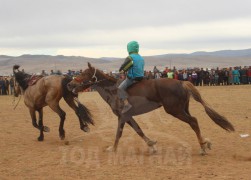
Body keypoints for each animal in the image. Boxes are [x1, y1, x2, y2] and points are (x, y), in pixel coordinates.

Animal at [67, 62, 235, 155]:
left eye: (84, 74)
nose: (70, 84)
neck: (113, 90)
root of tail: (181, 82)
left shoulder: (122, 116)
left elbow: (118, 133)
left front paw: (113, 149)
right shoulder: (128, 117)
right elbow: (139, 130)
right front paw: (152, 145)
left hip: (175, 110)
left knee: (193, 121)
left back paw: (202, 147)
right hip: (183, 109)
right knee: (194, 121)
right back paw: (205, 143)